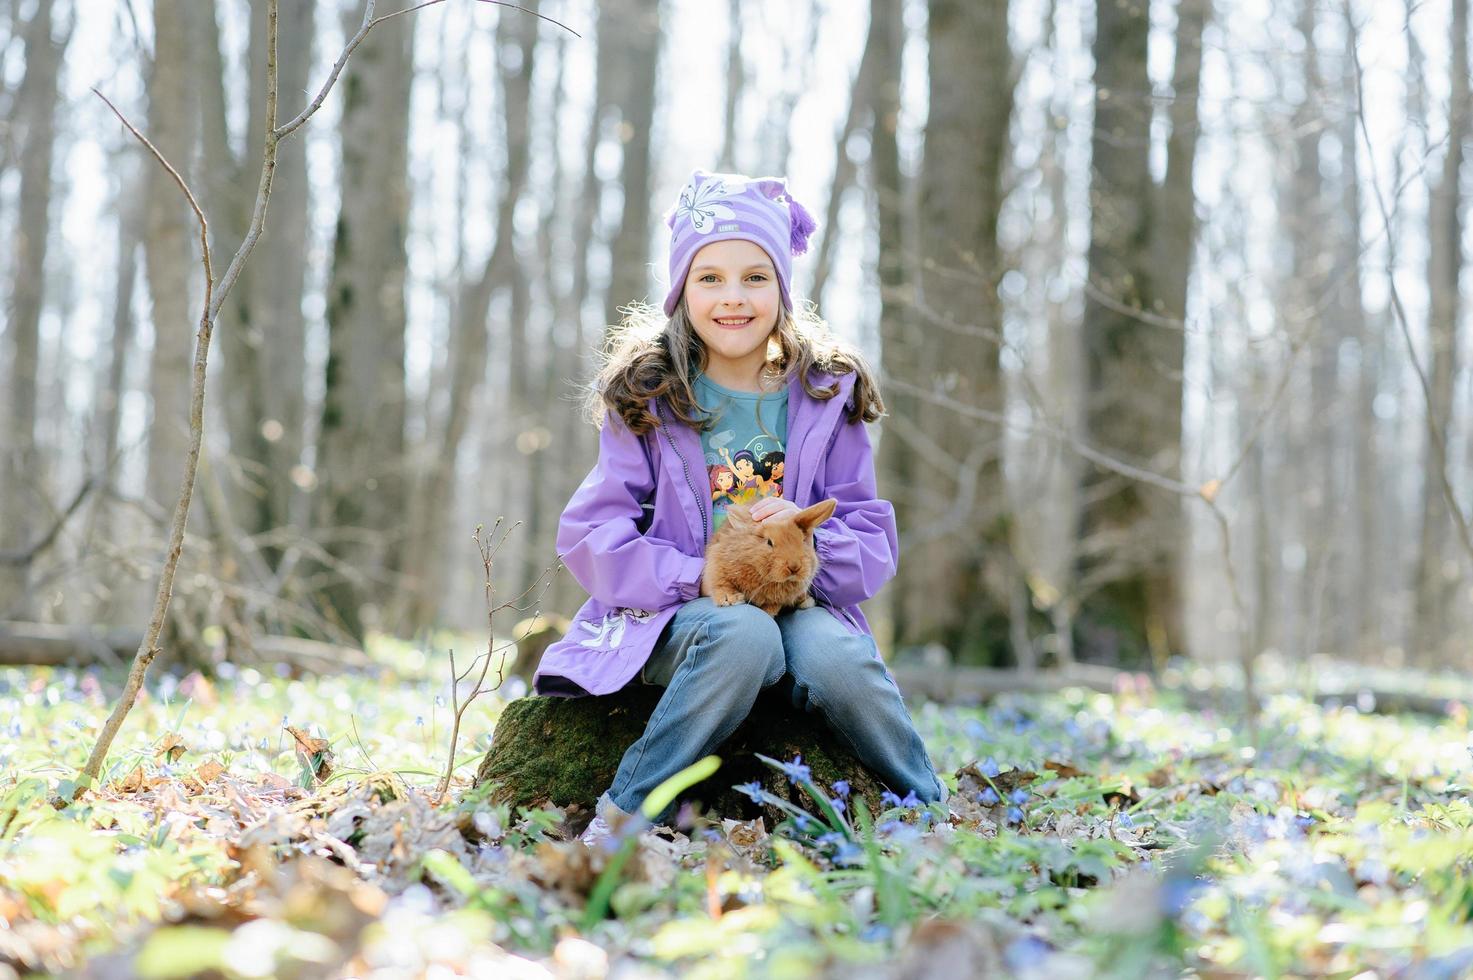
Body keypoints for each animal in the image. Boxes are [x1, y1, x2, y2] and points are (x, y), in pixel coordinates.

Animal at [704, 498, 842, 613]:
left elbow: (772, 607)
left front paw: (767, 614)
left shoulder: (777, 601)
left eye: (803, 540)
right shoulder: (717, 567)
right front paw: (731, 599)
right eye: (769, 542)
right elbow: (721, 584)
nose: (795, 567)